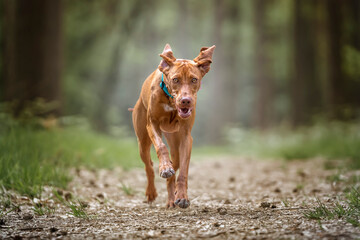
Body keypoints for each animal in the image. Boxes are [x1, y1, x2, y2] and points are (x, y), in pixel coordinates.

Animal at [131, 43, 215, 208]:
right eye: (175, 79)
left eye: (194, 79)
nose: (186, 101)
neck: (170, 101)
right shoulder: (152, 124)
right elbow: (161, 147)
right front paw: (164, 167)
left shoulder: (186, 137)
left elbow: (183, 172)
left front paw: (182, 197)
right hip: (142, 142)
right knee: (149, 166)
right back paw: (152, 192)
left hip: (175, 145)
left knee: (173, 168)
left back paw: (171, 199)